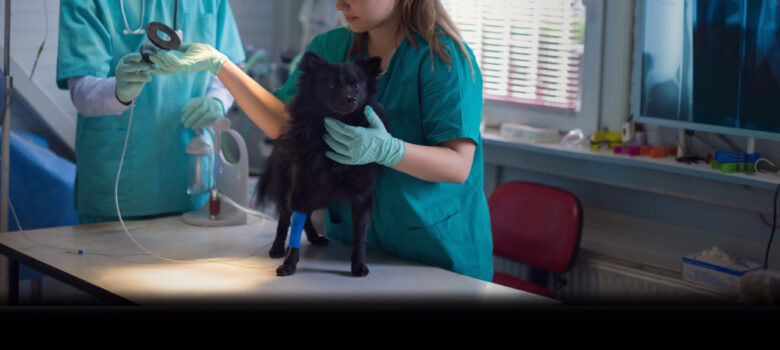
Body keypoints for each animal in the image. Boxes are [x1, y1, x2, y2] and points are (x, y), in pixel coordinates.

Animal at [258, 50, 388, 278]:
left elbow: (360, 236)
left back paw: (315, 237)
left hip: (320, 196)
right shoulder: (303, 187)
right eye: (332, 84)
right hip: (290, 189)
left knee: (307, 217)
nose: (350, 98)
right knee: (285, 218)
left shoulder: (362, 198)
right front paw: (289, 263)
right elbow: (294, 227)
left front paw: (358, 264)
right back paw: (277, 247)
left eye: (356, 85)